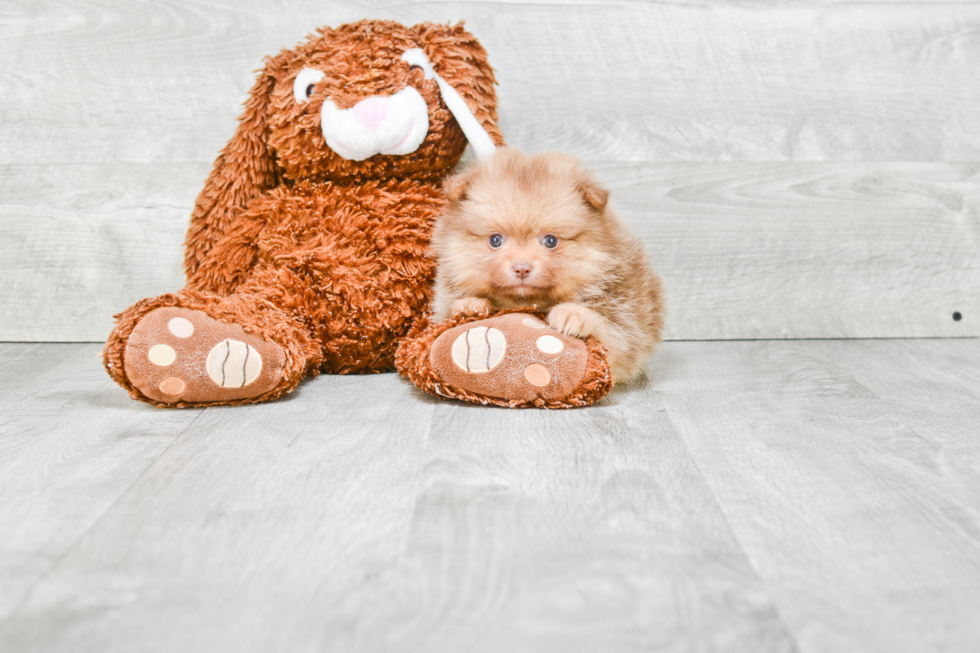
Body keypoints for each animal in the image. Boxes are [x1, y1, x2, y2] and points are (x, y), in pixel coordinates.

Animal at [430, 148, 668, 382]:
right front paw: (469, 305)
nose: (522, 267)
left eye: (550, 240)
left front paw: (573, 314)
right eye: (495, 240)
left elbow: (610, 332)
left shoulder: (628, 324)